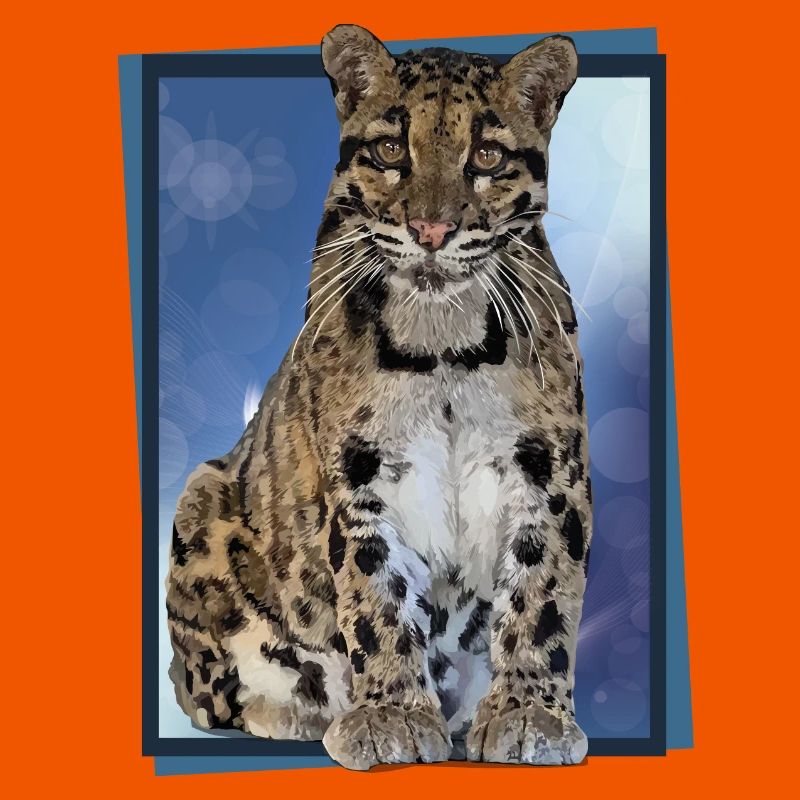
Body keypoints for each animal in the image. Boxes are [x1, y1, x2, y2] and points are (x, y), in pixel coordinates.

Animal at [166, 24, 592, 769]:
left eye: (486, 155)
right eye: (393, 149)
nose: (431, 231)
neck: (444, 343)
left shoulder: (549, 472)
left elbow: (542, 594)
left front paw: (528, 713)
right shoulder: (358, 476)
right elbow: (375, 596)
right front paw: (391, 714)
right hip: (201, 496)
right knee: (208, 692)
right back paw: (301, 710)